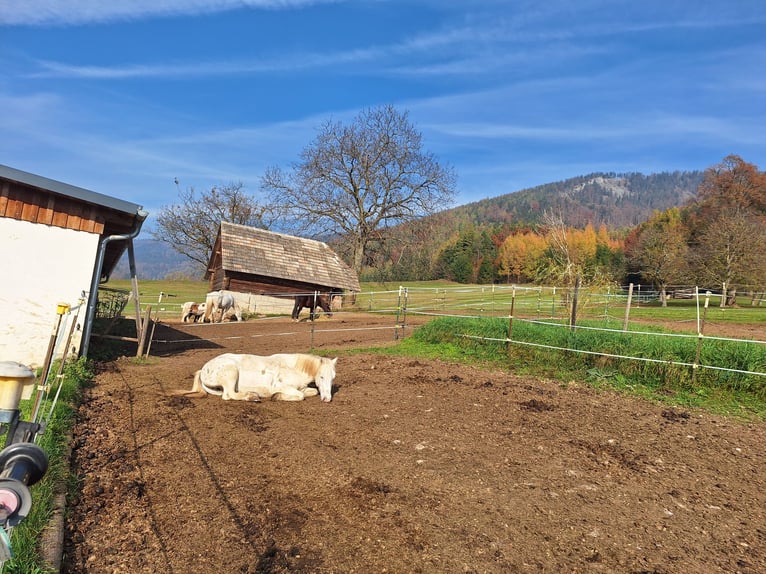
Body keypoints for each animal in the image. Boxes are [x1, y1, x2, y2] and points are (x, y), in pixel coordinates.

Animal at [172, 354, 338, 402]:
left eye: (333, 378)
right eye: (321, 376)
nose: (327, 399)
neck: (293, 368)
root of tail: (205, 368)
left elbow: (311, 392)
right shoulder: (282, 386)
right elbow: (300, 395)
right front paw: (276, 396)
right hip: (231, 372)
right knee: (229, 395)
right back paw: (252, 396)